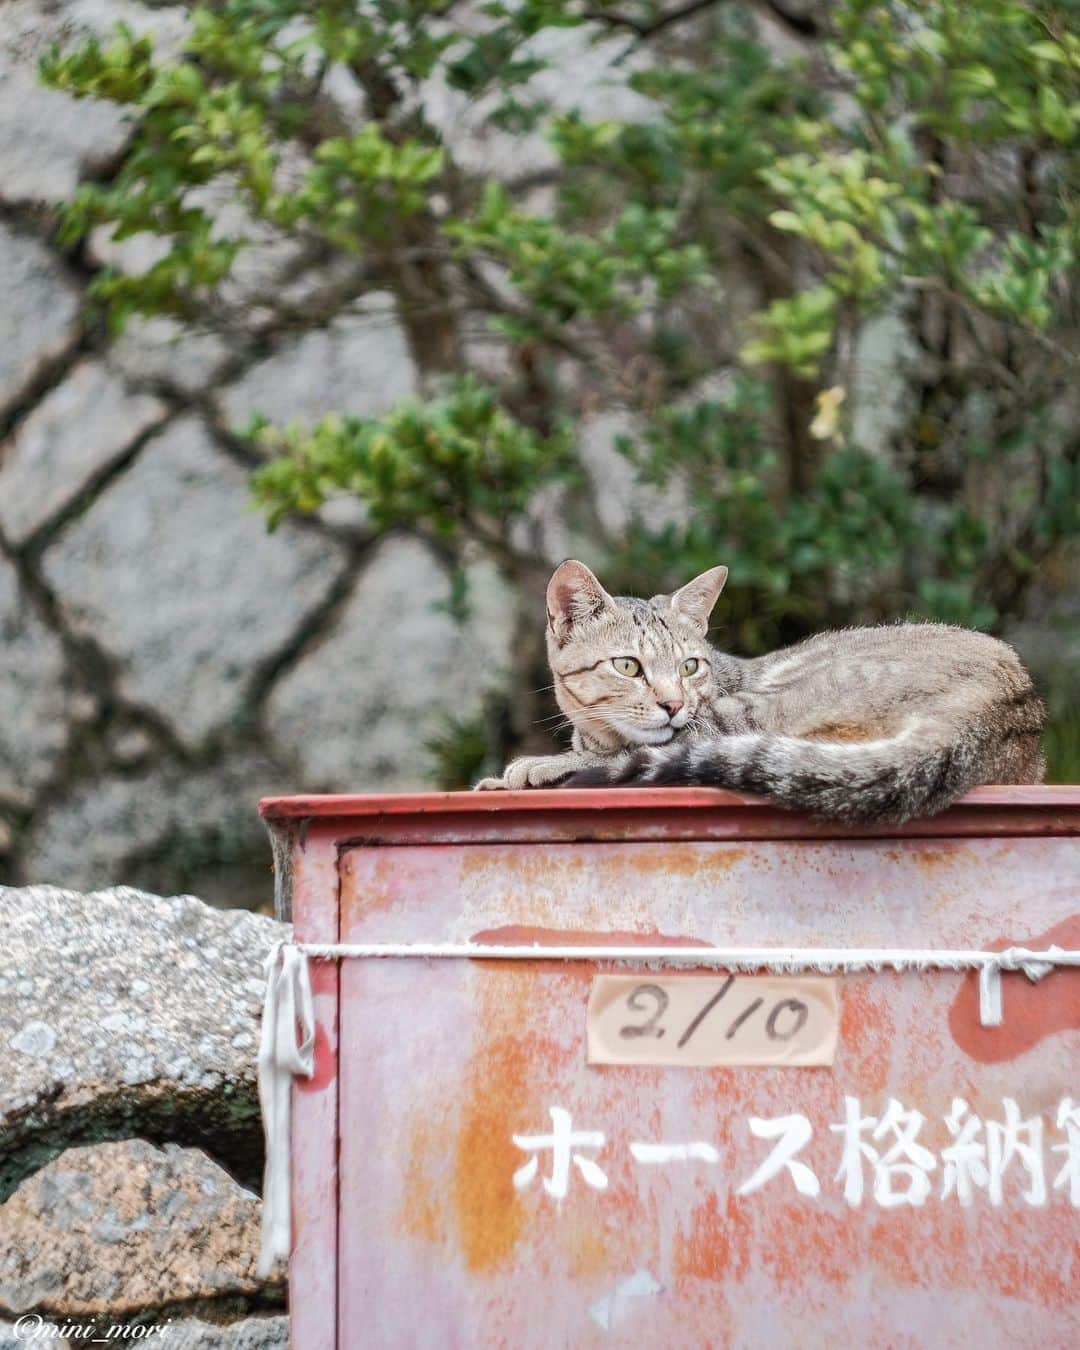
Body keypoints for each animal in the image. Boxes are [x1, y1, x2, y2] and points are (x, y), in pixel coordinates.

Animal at [475, 556, 1047, 826]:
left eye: (689, 666)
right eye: (627, 666)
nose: (673, 703)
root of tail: (1010, 705)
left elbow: (627, 749)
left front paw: (536, 767)